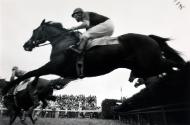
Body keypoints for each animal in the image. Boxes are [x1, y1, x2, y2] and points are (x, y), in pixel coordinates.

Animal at [1, 19, 186, 95]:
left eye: (34, 31)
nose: (26, 45)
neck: (63, 42)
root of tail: (149, 37)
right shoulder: (64, 73)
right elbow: (37, 75)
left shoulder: (54, 66)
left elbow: (31, 72)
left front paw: (6, 88)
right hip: (145, 67)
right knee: (171, 67)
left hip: (151, 64)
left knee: (173, 65)